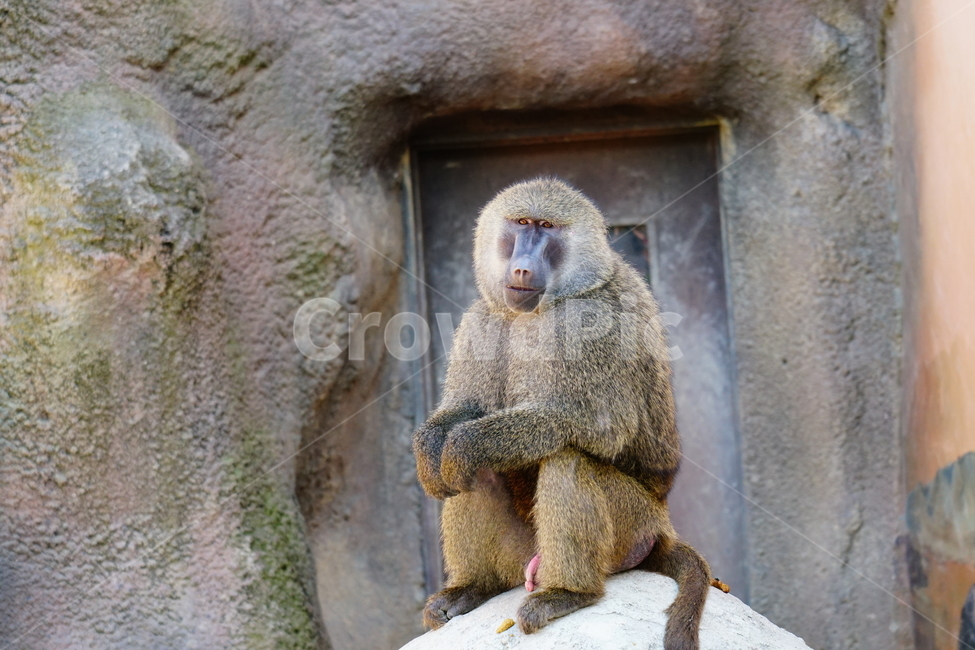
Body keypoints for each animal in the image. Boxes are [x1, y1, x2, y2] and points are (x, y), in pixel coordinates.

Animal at [412, 178, 712, 650]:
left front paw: (465, 444)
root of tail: (663, 526)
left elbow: (599, 427)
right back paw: (471, 589)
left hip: (633, 523)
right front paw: (429, 447)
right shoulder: (480, 318)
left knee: (566, 459)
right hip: (522, 555)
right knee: (473, 478)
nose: (521, 268)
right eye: (521, 224)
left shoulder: (591, 322)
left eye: (547, 228)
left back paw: (570, 592)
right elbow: (463, 411)